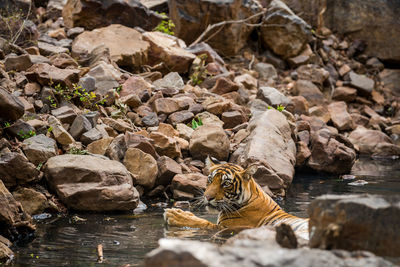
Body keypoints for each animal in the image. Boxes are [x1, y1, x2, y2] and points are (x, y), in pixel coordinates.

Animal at [163, 157, 310, 241]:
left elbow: (202, 223)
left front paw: (174, 215)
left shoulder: (223, 227)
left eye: (225, 183)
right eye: (210, 180)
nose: (208, 197)